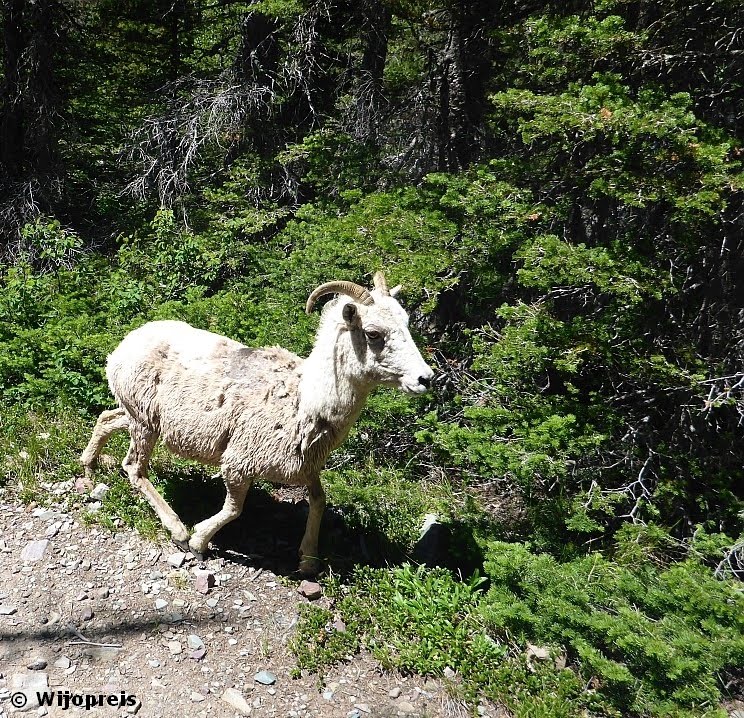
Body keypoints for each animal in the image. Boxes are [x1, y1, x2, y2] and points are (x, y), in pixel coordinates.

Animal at [80, 272, 434, 576]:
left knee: (106, 419)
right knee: (134, 468)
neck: (305, 398)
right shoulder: (239, 462)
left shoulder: (306, 465)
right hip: (143, 422)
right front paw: (198, 541)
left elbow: (319, 502)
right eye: (373, 334)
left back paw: (89, 465)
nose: (425, 379)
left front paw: (308, 560)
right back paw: (177, 529)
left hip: (139, 415)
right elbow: (235, 509)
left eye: (406, 322)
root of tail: (125, 344)